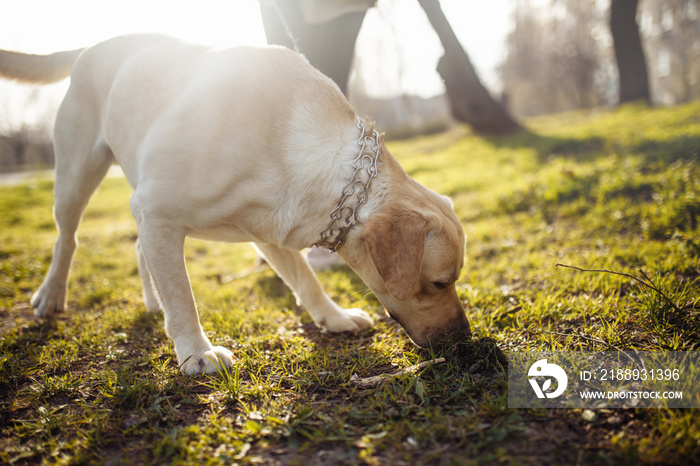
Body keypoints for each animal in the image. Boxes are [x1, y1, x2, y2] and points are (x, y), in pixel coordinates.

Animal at [1, 34, 470, 374]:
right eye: (440, 282)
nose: (465, 338)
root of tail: (92, 45)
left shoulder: (274, 229)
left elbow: (306, 281)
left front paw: (333, 317)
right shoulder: (156, 208)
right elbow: (182, 294)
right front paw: (196, 352)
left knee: (137, 247)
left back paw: (152, 302)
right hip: (76, 176)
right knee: (67, 238)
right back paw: (51, 294)